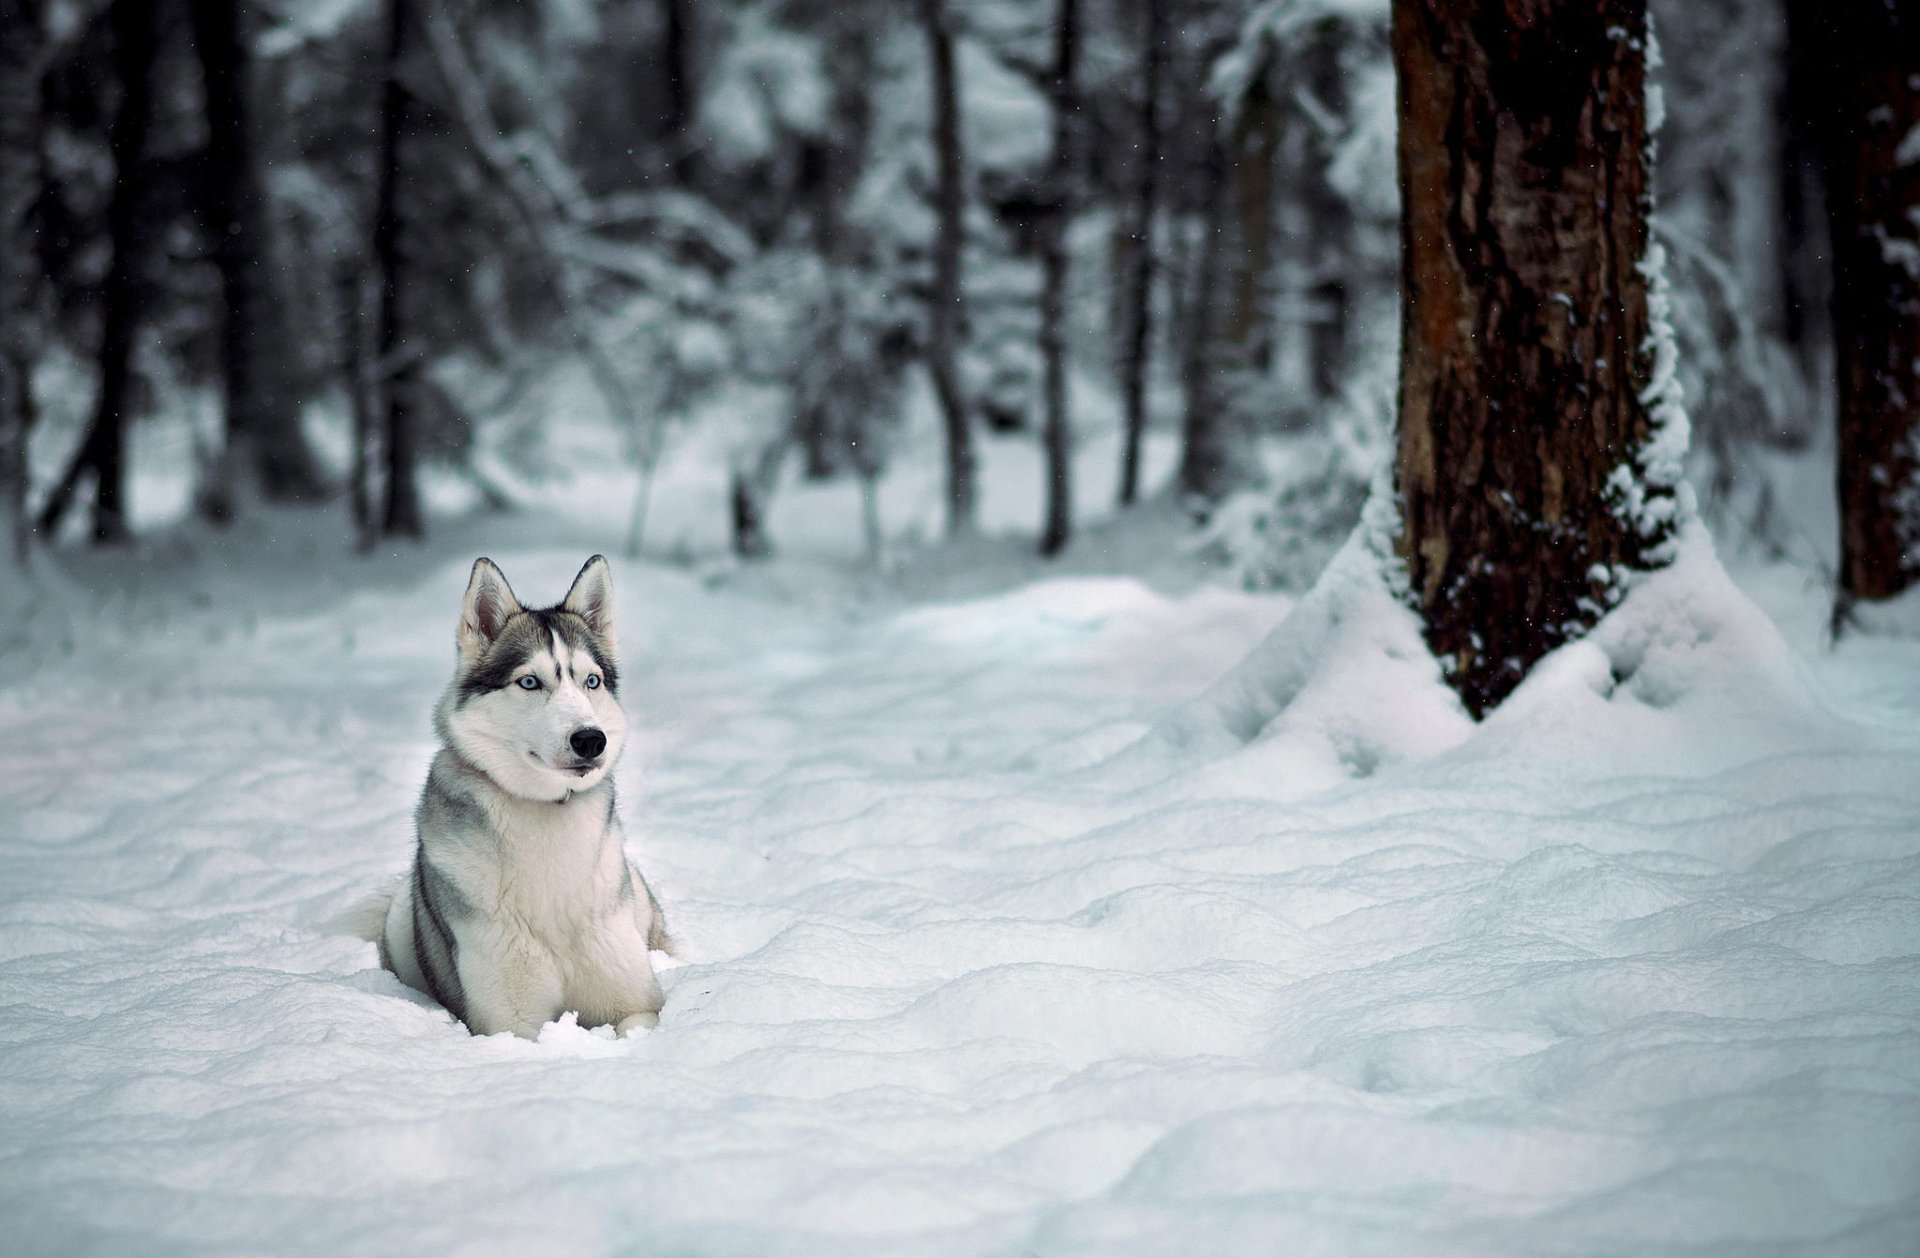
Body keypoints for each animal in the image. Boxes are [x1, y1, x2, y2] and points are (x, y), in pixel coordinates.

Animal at [378, 556, 672, 1037]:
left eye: (592, 681)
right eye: (530, 682)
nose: (591, 740)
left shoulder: (637, 1005)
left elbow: (636, 1020)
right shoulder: (509, 1024)